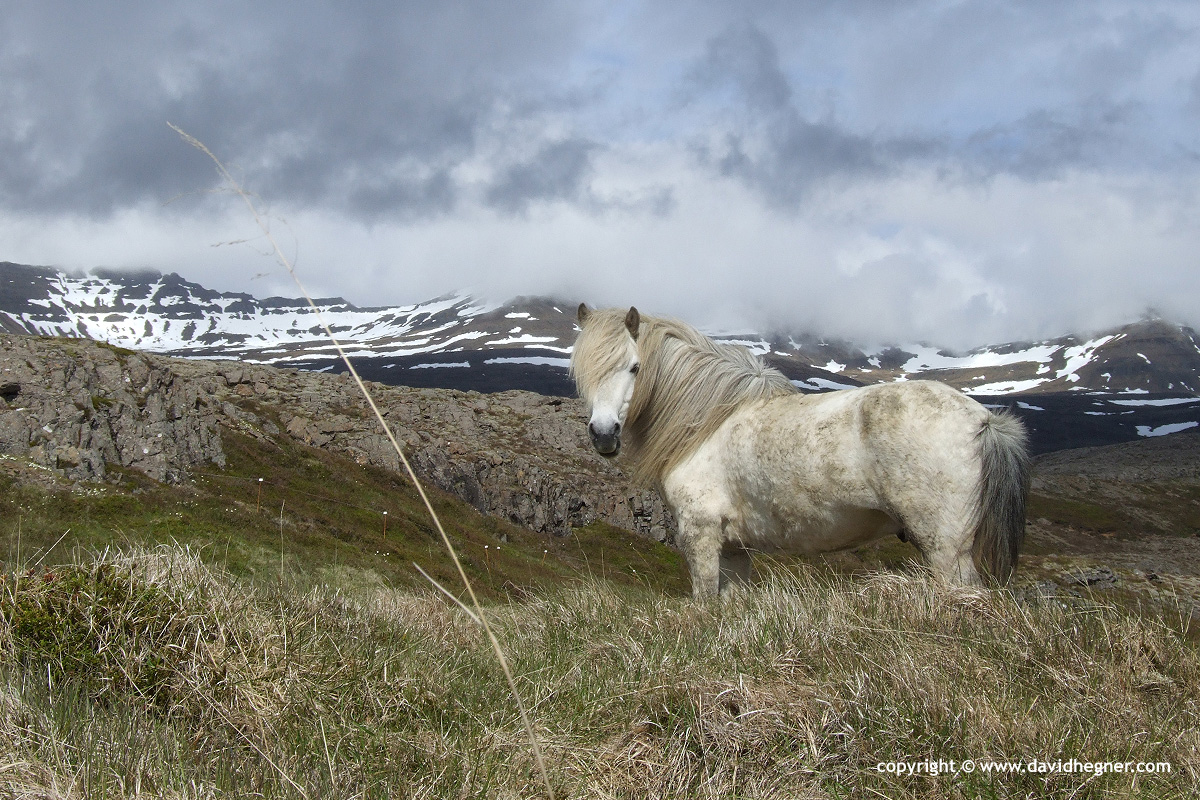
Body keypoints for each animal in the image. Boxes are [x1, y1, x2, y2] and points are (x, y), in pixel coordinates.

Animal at [570, 304, 1030, 598]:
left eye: (635, 367)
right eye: (582, 370)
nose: (604, 435)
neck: (706, 423)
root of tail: (983, 420)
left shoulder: (701, 535)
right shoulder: (734, 549)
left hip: (946, 550)